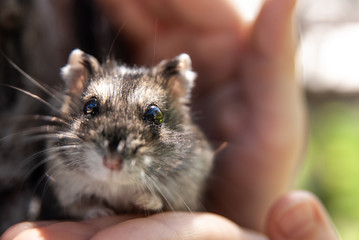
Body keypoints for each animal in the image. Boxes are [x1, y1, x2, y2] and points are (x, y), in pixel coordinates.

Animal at [45, 49, 214, 219]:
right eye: (90, 106)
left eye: (154, 114)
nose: (112, 163)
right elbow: (82, 205)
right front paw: (102, 212)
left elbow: (161, 201)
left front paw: (141, 200)